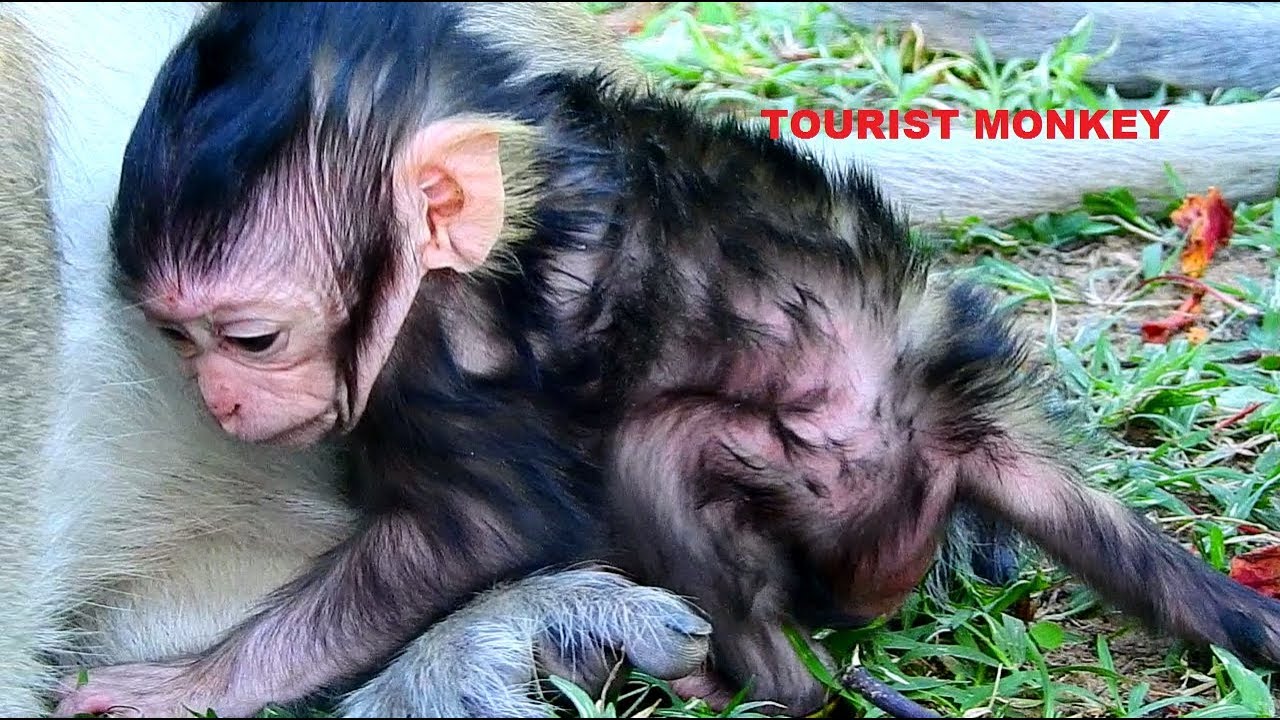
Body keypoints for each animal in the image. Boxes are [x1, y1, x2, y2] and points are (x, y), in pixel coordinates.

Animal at [49, 2, 1280, 717]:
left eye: (248, 338)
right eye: (176, 338)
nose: (218, 402)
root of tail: (950, 412)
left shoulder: (450, 355)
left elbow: (473, 535)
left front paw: (189, 686)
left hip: (851, 493)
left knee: (664, 450)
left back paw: (749, 679)